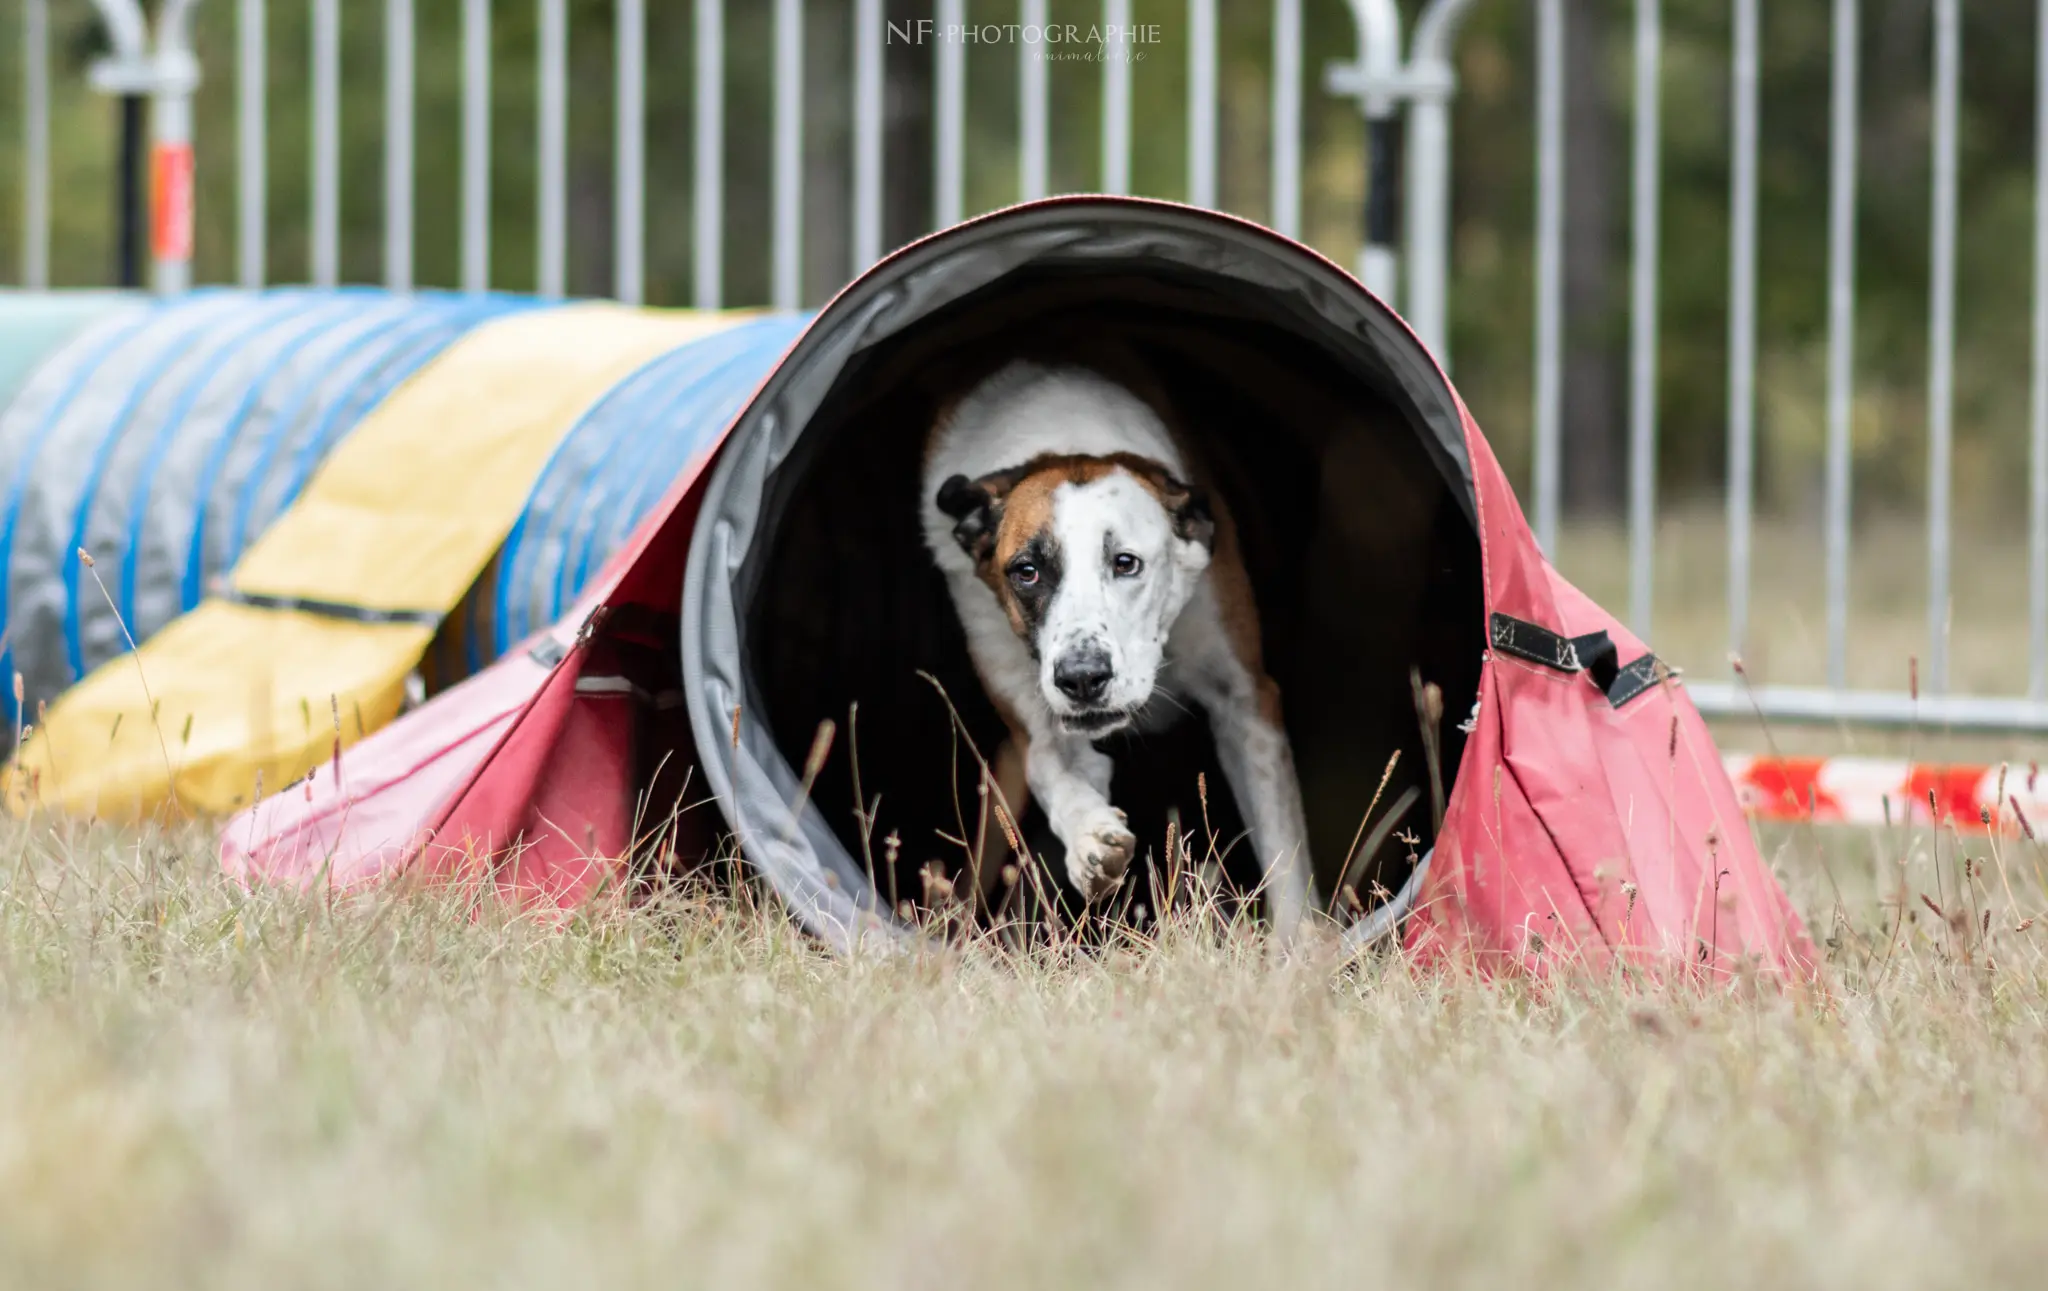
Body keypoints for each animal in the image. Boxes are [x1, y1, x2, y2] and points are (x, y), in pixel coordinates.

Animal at [925, 354, 1318, 942]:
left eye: (1126, 563)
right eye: (1027, 571)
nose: (1083, 678)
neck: (1066, 437)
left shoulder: (1245, 700)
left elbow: (1283, 850)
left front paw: (1301, 948)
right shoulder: (1029, 717)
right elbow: (1052, 764)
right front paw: (1090, 837)